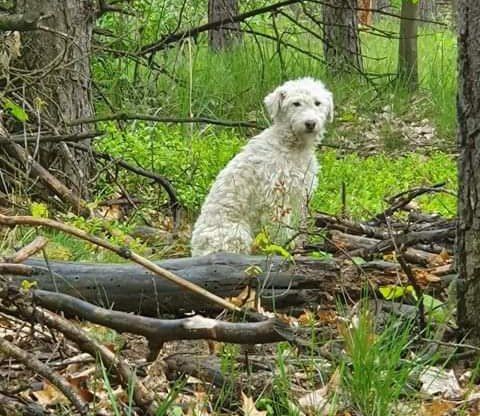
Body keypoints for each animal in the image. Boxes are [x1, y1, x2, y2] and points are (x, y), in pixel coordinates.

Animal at [189, 76, 332, 255]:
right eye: (296, 103)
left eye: (317, 103)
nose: (310, 123)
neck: (292, 147)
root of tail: (196, 249)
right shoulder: (275, 196)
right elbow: (280, 228)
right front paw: (284, 247)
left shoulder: (300, 195)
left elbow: (299, 222)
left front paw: (299, 243)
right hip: (236, 234)